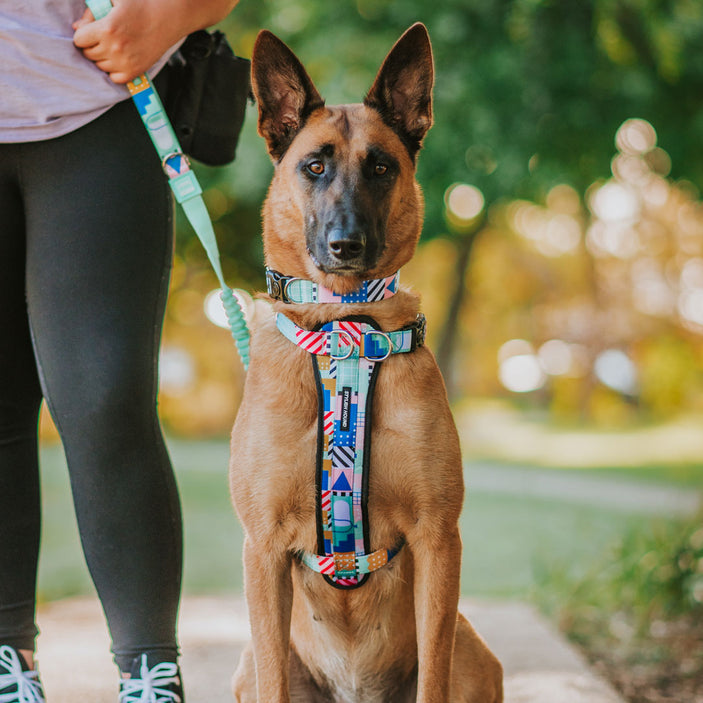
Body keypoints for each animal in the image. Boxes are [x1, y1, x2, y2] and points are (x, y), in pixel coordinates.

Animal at [228, 23, 504, 703]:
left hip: (475, 651)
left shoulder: (439, 539)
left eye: (381, 167)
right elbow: (273, 677)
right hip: (246, 660)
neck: (344, 330)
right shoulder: (262, 551)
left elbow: (433, 675)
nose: (345, 245)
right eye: (314, 166)